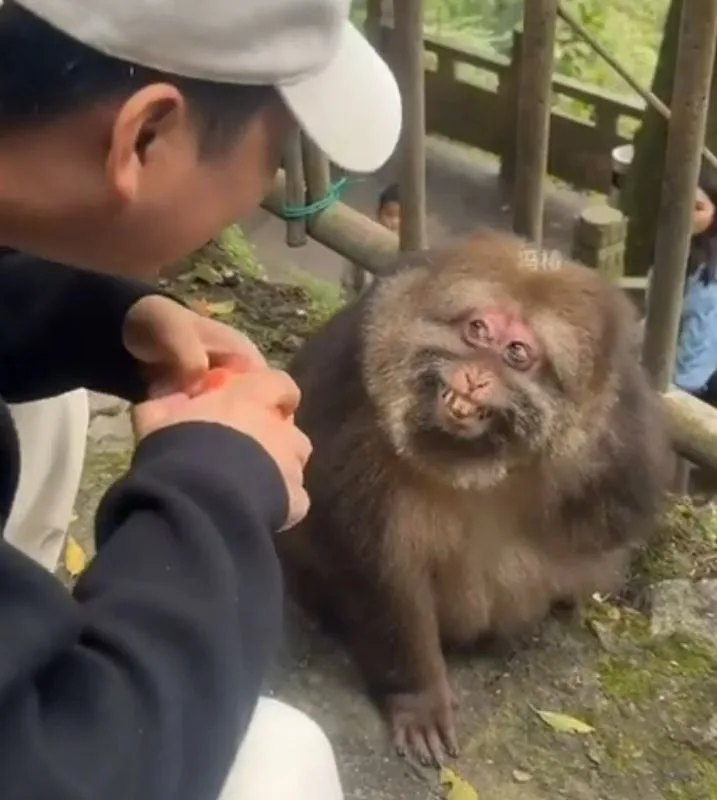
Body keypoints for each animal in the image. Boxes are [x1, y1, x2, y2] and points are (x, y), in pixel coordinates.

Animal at [278, 228, 671, 767]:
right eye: (477, 331)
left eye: (517, 353)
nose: (475, 376)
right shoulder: (357, 396)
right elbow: (376, 562)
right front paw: (419, 696)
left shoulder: (617, 439)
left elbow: (623, 516)